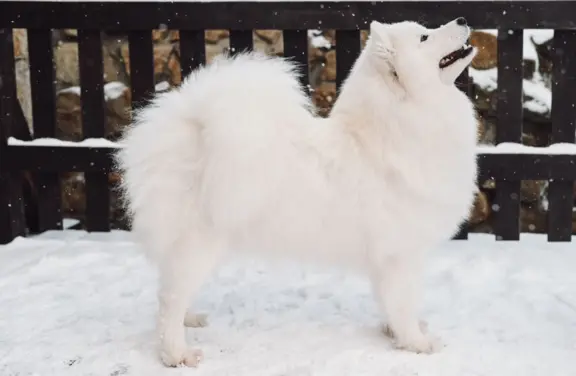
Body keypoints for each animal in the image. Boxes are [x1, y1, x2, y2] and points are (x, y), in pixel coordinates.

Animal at [115, 17, 480, 368]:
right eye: (424, 37)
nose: (463, 19)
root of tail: (188, 126)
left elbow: (390, 303)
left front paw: (393, 332)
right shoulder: (401, 254)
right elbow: (404, 303)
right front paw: (416, 343)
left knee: (171, 288)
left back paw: (189, 320)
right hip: (201, 242)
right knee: (170, 300)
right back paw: (176, 354)